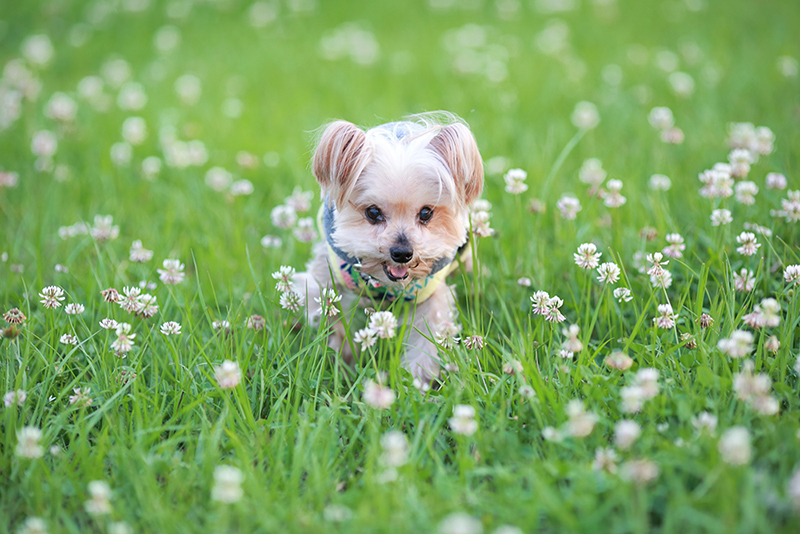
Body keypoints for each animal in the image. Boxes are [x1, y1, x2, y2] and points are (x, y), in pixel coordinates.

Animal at [292, 114, 482, 386]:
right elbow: (327, 312)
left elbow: (428, 337)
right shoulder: (327, 274)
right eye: (373, 212)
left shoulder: (432, 294)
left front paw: (418, 379)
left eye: (426, 213)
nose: (402, 253)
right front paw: (341, 357)